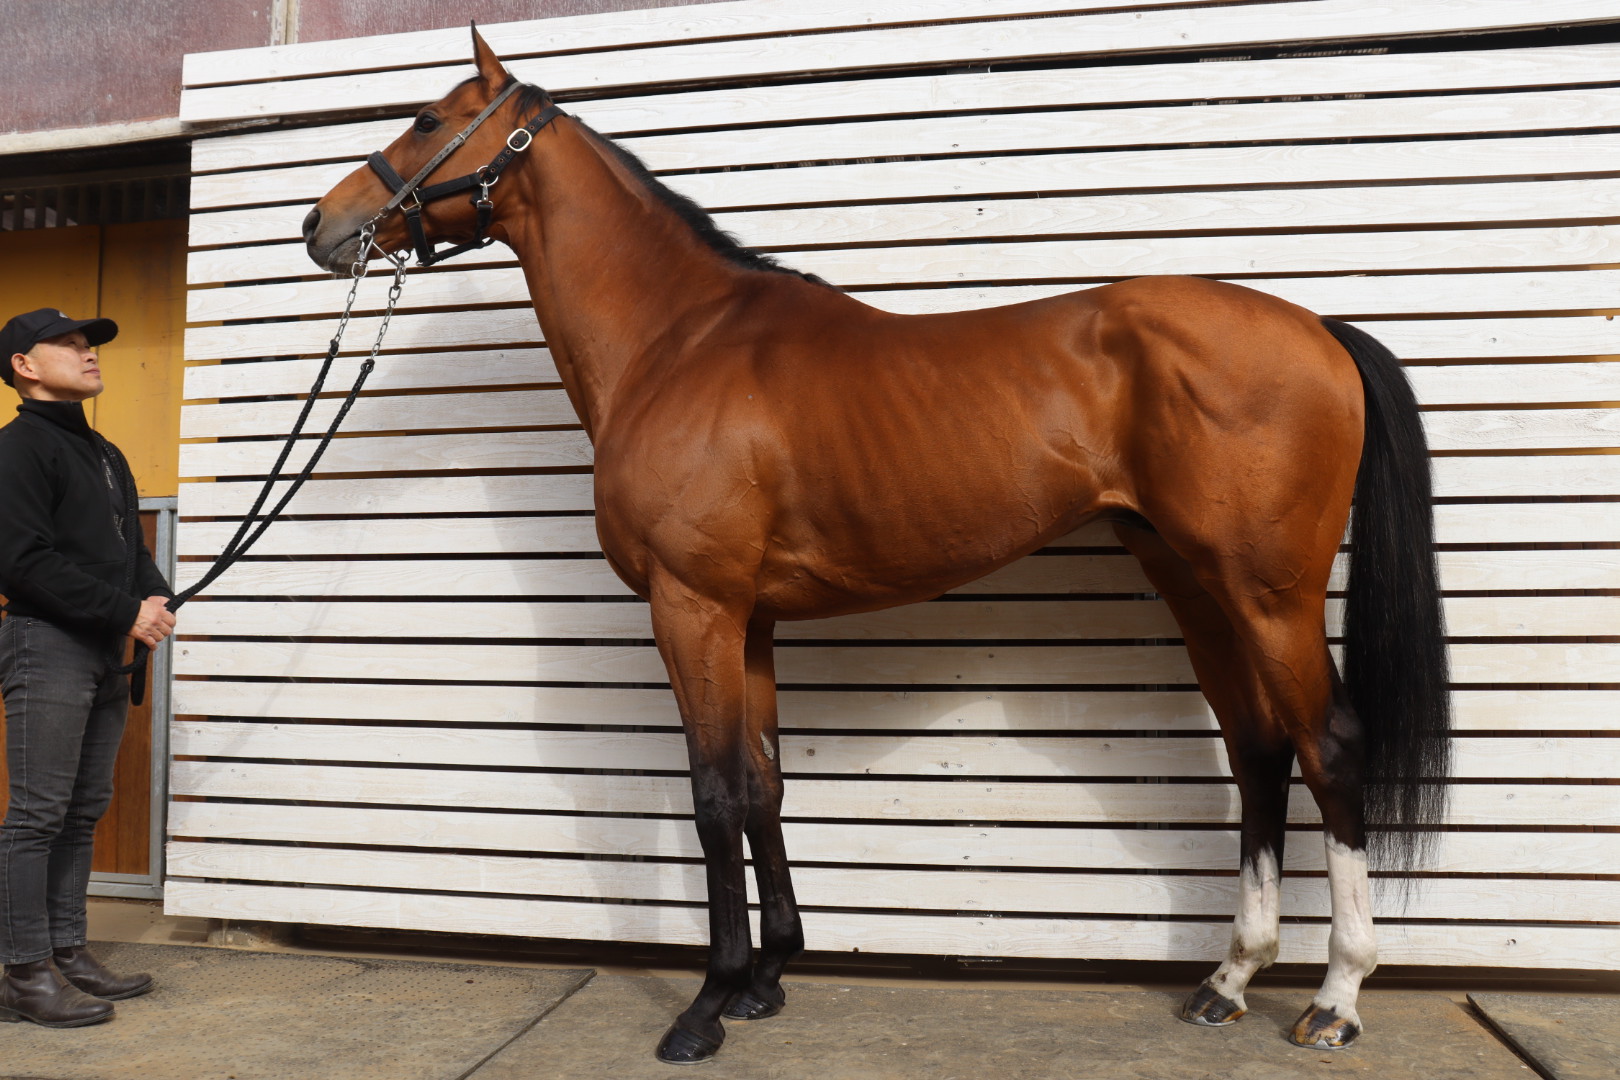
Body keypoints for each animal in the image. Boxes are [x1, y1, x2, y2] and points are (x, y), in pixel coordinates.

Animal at [303, 26, 1450, 1065]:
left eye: (427, 120)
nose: (322, 223)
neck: (678, 345)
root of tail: (1317, 328)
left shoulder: (692, 605)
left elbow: (713, 793)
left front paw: (706, 1005)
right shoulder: (750, 620)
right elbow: (762, 784)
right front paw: (769, 979)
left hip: (1268, 594)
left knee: (1327, 746)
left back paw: (1337, 999)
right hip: (1193, 582)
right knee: (1257, 748)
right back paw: (1228, 978)